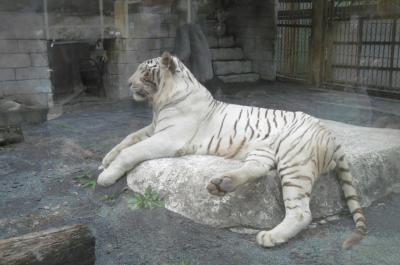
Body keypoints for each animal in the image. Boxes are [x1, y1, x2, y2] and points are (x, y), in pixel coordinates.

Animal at [98, 51, 368, 248]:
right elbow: (127, 139)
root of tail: (329, 133)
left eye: (144, 72)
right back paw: (222, 184)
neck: (161, 103)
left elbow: (131, 151)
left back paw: (270, 237)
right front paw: (105, 160)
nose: (128, 83)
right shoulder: (154, 128)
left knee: (302, 213)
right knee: (257, 169)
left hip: (295, 162)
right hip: (264, 151)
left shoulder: (168, 137)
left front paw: (106, 176)